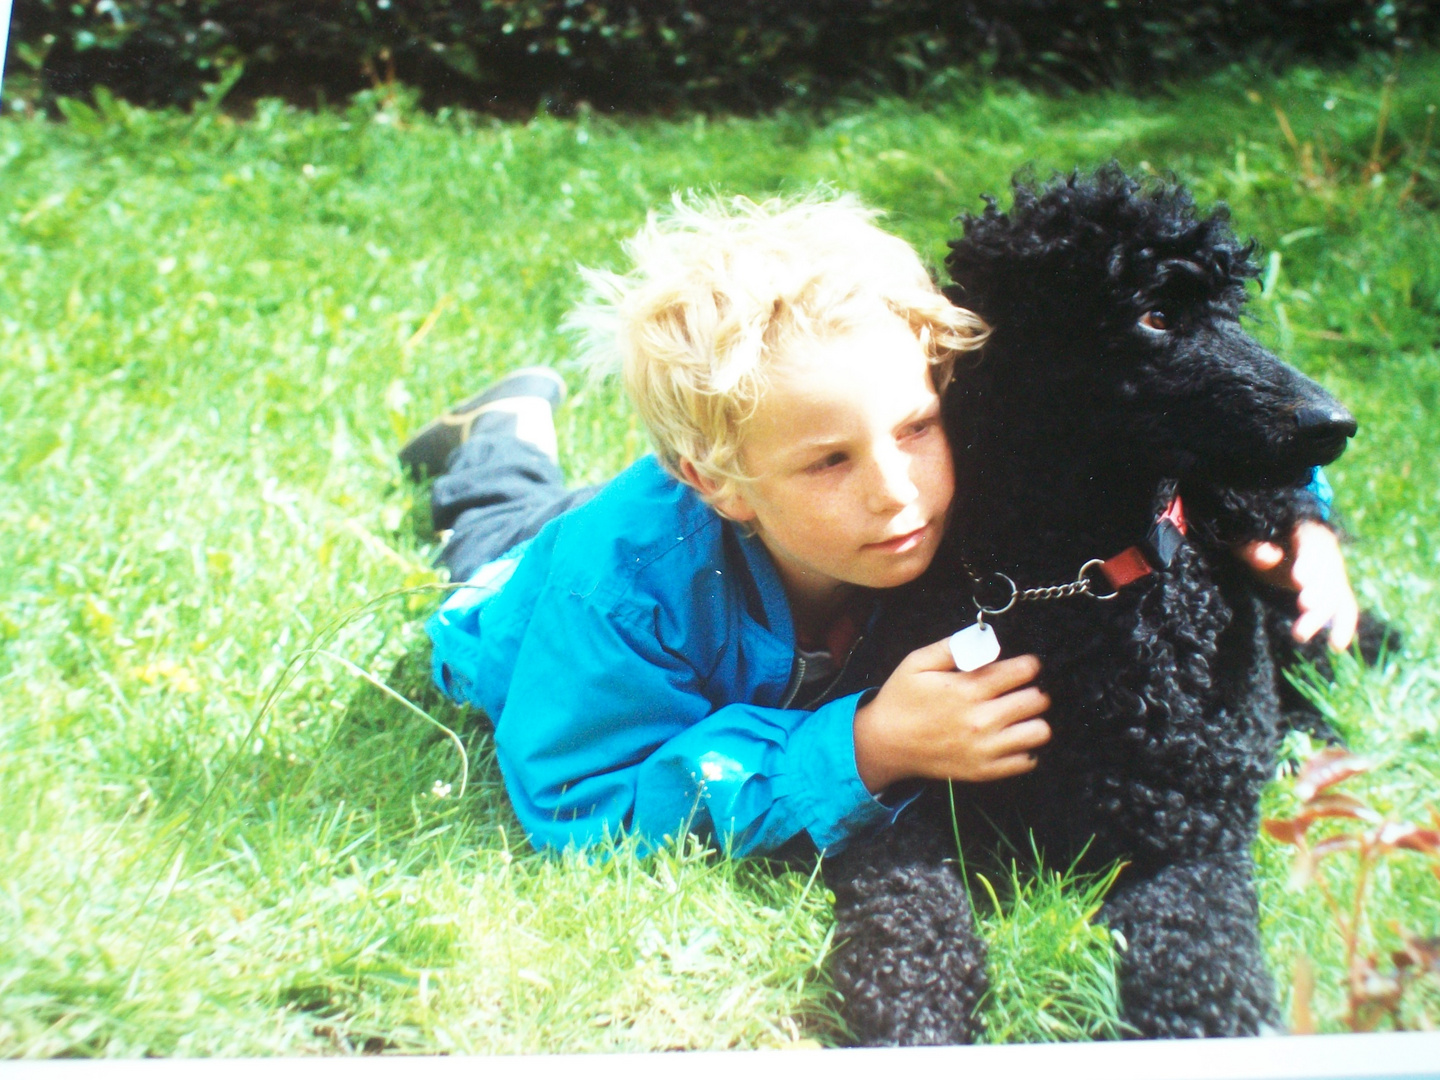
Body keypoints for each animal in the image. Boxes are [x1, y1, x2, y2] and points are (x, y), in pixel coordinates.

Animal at [835, 169, 1359, 1048]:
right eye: (1155, 316)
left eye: (1231, 311)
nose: (1335, 423)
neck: (1078, 583)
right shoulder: (904, 801)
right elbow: (907, 923)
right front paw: (916, 1024)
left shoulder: (1190, 845)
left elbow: (1203, 974)